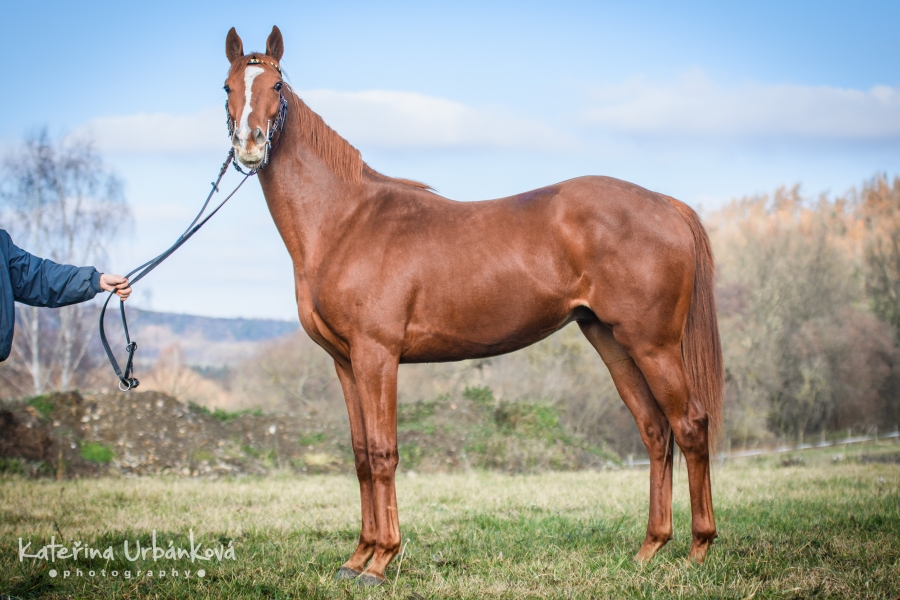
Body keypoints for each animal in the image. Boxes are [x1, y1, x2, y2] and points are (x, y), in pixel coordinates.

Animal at [223, 25, 724, 584]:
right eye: (227, 87)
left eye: (277, 87)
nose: (249, 146)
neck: (346, 221)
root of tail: (667, 204)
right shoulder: (345, 362)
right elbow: (360, 455)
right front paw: (357, 558)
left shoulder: (377, 356)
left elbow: (383, 453)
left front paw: (381, 560)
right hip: (612, 342)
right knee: (656, 432)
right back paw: (649, 549)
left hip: (654, 344)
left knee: (691, 426)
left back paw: (699, 549)